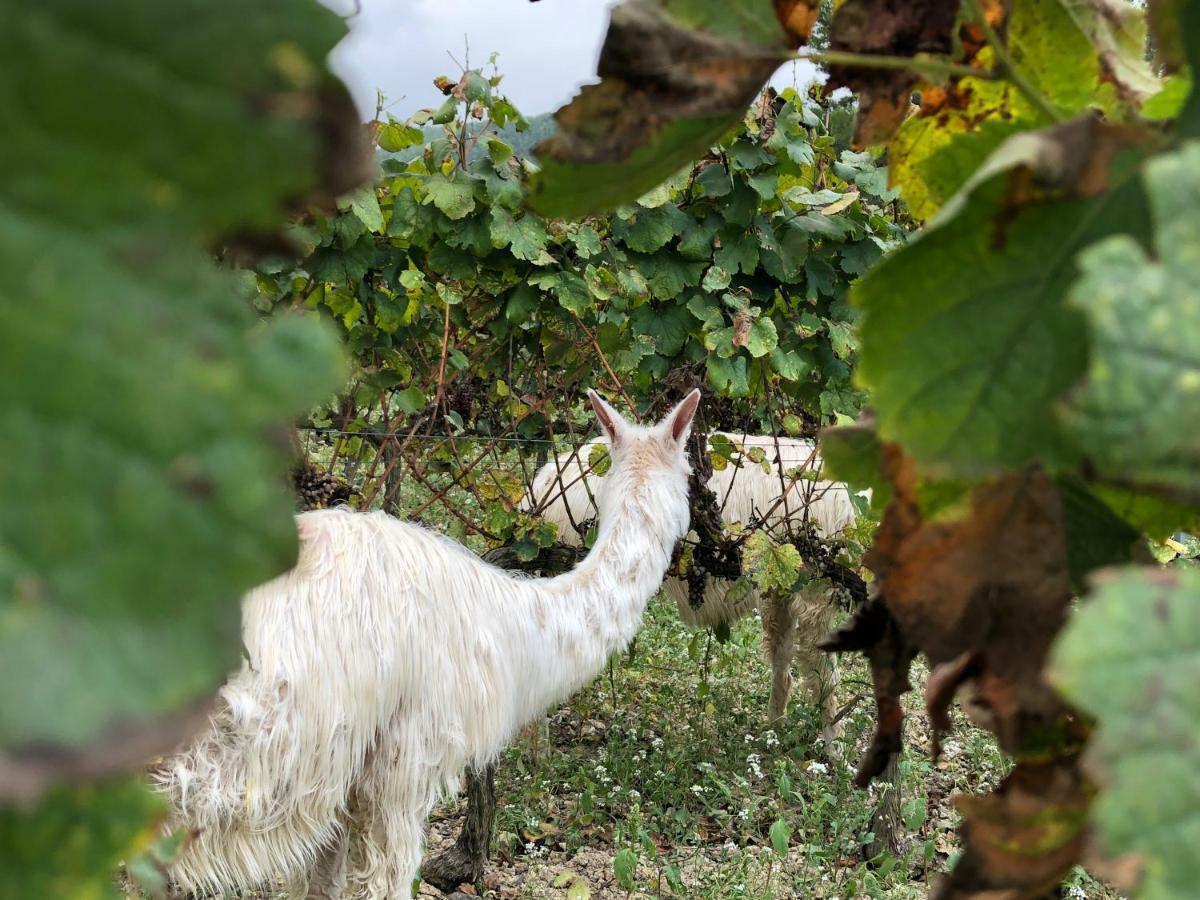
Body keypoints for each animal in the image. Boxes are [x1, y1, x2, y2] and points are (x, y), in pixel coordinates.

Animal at [530, 436, 859, 748]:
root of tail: (544, 480)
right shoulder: (815, 595)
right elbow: (825, 680)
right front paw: (837, 749)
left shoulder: (782, 592)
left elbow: (781, 661)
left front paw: (774, 729)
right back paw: (540, 751)